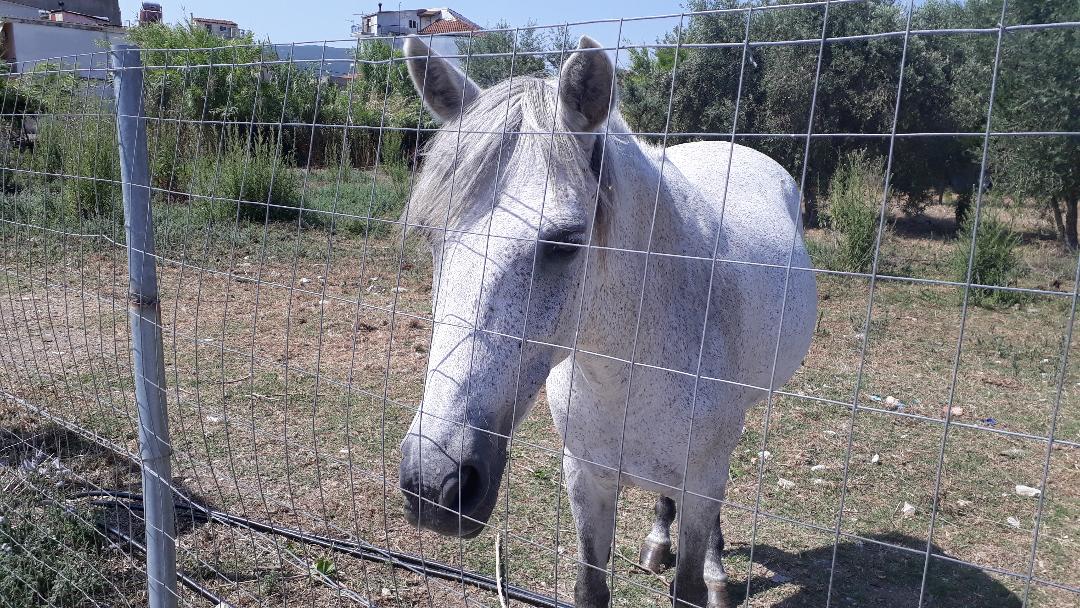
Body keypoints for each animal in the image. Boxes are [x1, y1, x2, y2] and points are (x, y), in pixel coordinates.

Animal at [399, 34, 816, 608]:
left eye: (565, 243)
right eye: (432, 236)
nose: (434, 486)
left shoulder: (703, 475)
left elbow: (688, 584)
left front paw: (704, 574)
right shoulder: (585, 475)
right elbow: (591, 587)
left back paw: (715, 571)